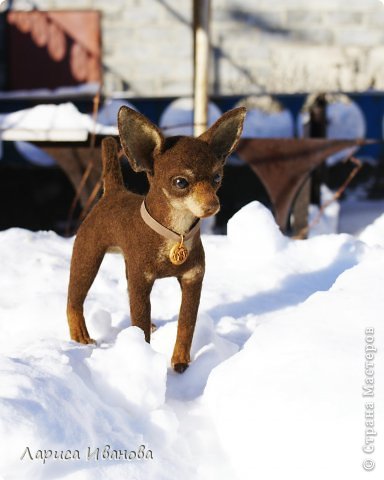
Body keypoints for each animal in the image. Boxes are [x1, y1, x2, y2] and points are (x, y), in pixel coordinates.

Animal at [66, 107, 246, 374]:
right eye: (181, 182)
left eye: (216, 178)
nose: (212, 205)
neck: (176, 233)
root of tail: (112, 191)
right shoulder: (142, 280)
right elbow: (140, 323)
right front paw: (144, 359)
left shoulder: (193, 278)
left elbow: (186, 326)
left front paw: (180, 361)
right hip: (88, 254)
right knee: (74, 298)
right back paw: (80, 335)